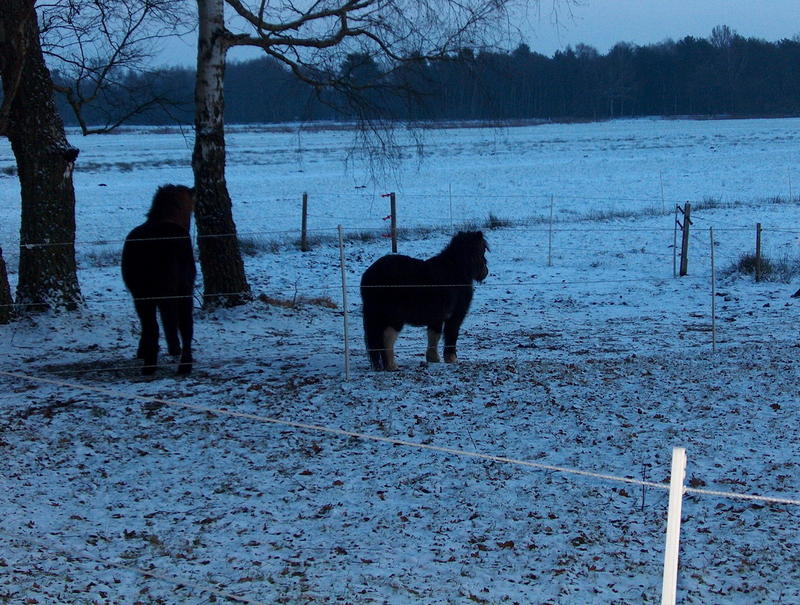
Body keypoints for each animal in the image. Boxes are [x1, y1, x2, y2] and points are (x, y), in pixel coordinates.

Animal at [122, 182, 197, 376]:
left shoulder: (140, 296)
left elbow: (148, 325)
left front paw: (143, 351)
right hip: (185, 289)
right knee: (186, 325)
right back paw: (185, 365)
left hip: (149, 293)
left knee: (153, 326)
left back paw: (150, 365)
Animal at [360, 230, 488, 368]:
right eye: (482, 250)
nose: (486, 272)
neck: (457, 270)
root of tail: (371, 275)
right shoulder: (456, 316)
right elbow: (451, 335)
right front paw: (452, 359)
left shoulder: (437, 317)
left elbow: (434, 336)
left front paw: (433, 358)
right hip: (394, 318)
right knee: (387, 338)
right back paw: (392, 366)